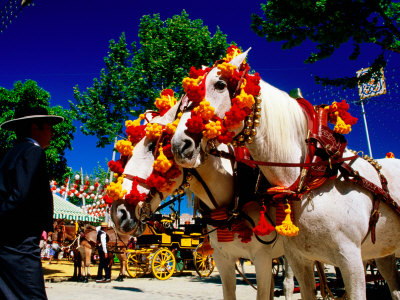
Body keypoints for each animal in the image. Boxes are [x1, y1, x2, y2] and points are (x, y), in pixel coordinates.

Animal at [111, 102, 292, 298]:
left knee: (289, 283)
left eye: (153, 146)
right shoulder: (224, 259)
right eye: (125, 155)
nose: (118, 214)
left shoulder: (262, 258)